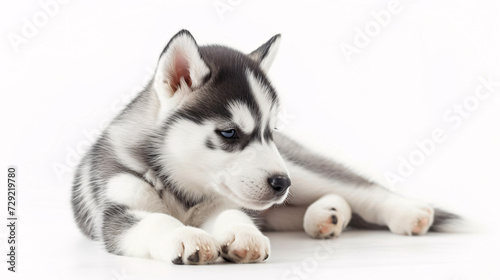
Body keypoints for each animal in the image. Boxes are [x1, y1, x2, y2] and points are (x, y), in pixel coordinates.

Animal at [72, 30, 458, 264]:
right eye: (229, 133)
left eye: (270, 131)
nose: (281, 184)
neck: (182, 184)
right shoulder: (118, 212)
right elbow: (158, 222)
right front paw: (186, 236)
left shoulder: (224, 202)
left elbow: (234, 216)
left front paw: (244, 235)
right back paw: (327, 215)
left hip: (299, 169)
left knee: (361, 190)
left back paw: (407, 213)